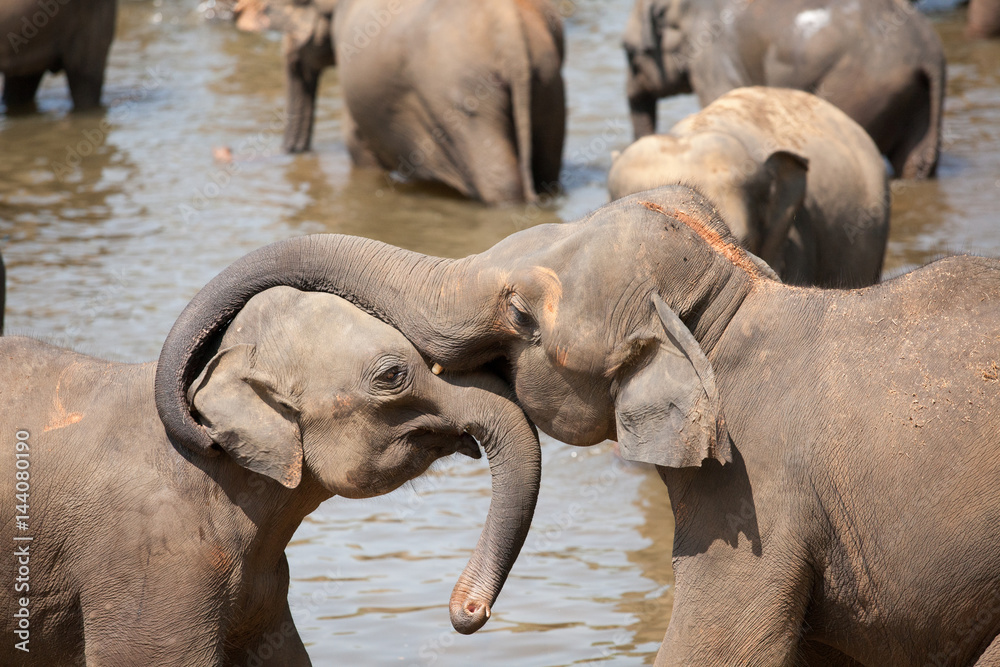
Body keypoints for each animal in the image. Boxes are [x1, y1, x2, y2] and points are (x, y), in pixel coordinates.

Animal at [270, 0, 565, 203]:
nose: (293, 153)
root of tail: (511, 33)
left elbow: (357, 146)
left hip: (467, 94)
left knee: (502, 185)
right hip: (548, 79)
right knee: (547, 172)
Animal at [623, 0, 946, 180]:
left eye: (628, 51)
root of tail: (929, 55)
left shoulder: (712, 48)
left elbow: (721, 93)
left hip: (860, 81)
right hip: (916, 98)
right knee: (915, 161)